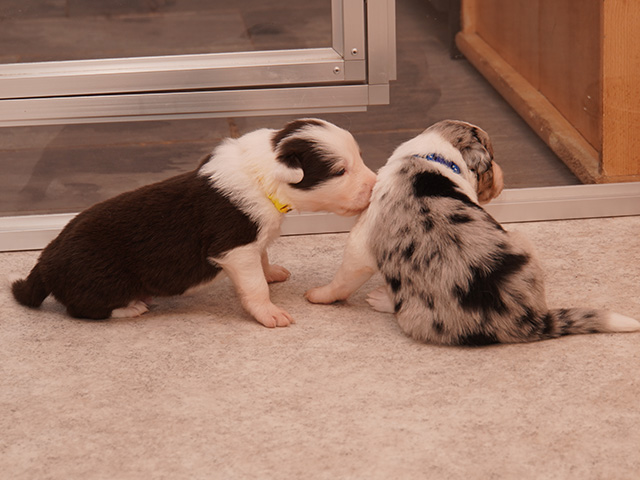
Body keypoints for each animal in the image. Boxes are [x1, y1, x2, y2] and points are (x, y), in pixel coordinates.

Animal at [12, 118, 377, 327]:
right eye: (340, 171)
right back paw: (132, 308)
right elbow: (254, 285)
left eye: (359, 158)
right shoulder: (235, 249)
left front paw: (272, 272)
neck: (263, 177)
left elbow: (263, 256)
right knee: (83, 310)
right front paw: (270, 313)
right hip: (102, 282)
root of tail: (44, 261)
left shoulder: (252, 242)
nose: (375, 186)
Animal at [306, 120, 640, 345]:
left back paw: (381, 299)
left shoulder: (360, 241)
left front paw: (318, 295)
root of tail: (531, 320)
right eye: (491, 159)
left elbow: (344, 277)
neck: (432, 155)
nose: (502, 176)